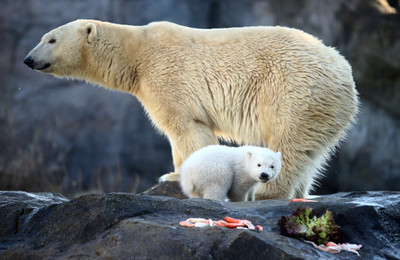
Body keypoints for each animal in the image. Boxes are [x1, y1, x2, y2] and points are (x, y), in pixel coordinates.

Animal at [23, 19, 358, 199]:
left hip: (293, 91)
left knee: (287, 143)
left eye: (51, 39)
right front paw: (171, 174)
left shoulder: (167, 76)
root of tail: (344, 71)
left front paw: (182, 177)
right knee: (310, 153)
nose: (28, 59)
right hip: (322, 109)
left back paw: (266, 190)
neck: (137, 54)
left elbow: (187, 127)